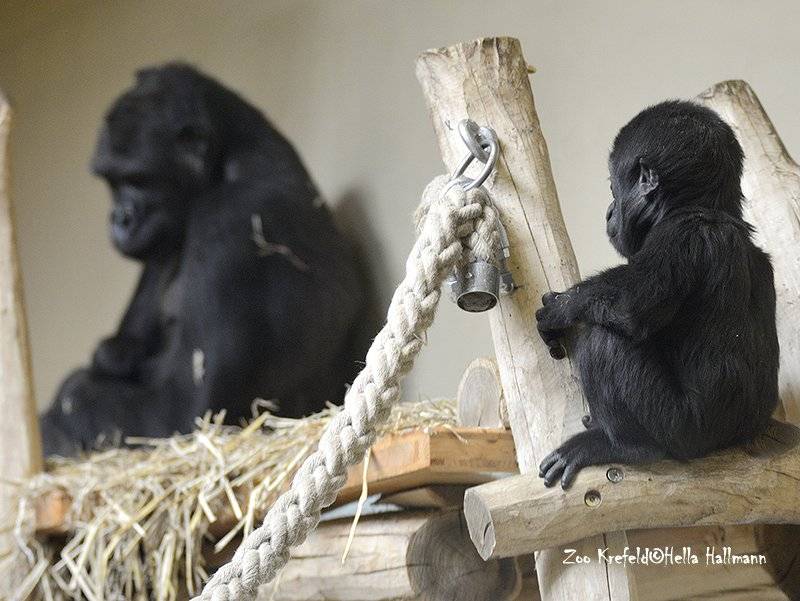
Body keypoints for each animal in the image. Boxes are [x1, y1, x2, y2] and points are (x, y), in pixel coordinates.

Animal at [40, 64, 366, 456]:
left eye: (137, 178)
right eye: (111, 181)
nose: (120, 219)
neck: (228, 159)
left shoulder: (233, 218)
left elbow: (182, 412)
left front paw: (67, 400)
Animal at [535, 100, 779, 489]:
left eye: (613, 187)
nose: (609, 210)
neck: (700, 206)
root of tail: (735, 440)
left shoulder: (678, 237)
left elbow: (631, 303)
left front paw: (561, 307)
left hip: (678, 428)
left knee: (605, 341)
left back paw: (622, 446)